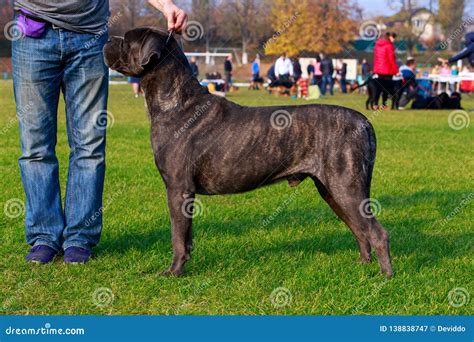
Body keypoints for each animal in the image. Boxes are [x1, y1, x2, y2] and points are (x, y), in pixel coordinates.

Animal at [103, 28, 392, 276]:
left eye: (127, 40)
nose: (106, 39)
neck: (176, 103)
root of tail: (364, 122)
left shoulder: (177, 188)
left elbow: (177, 236)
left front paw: (173, 272)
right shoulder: (185, 193)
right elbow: (187, 236)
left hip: (346, 186)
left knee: (377, 232)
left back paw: (385, 276)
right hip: (332, 190)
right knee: (359, 229)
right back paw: (363, 266)